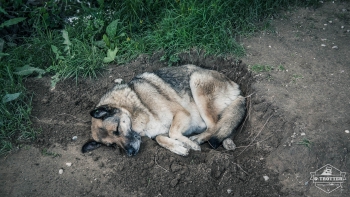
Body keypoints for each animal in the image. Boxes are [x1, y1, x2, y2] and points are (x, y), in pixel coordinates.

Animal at [82, 65, 246, 156]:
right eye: (112, 145)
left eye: (116, 130)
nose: (130, 153)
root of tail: (237, 89)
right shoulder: (159, 132)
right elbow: (161, 139)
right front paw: (179, 147)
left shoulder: (182, 114)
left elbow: (172, 132)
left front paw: (190, 144)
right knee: (226, 124)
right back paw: (227, 142)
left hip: (196, 82)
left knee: (214, 126)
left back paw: (197, 139)